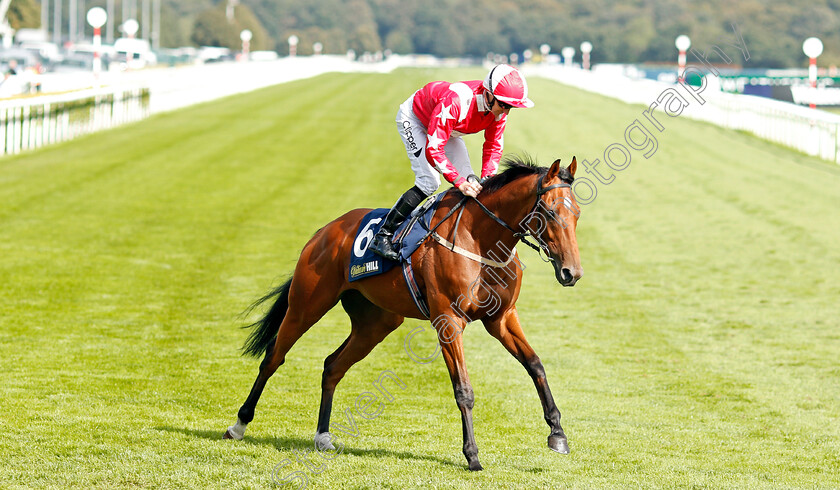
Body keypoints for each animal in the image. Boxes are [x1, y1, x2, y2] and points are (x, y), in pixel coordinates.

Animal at [223, 155, 584, 468]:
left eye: (577, 213)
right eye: (550, 212)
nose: (572, 272)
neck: (480, 239)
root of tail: (324, 231)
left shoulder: (502, 318)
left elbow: (535, 365)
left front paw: (557, 434)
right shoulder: (449, 321)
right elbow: (464, 390)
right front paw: (472, 455)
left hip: (375, 324)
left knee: (332, 366)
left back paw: (323, 436)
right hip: (306, 305)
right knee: (273, 357)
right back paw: (239, 425)